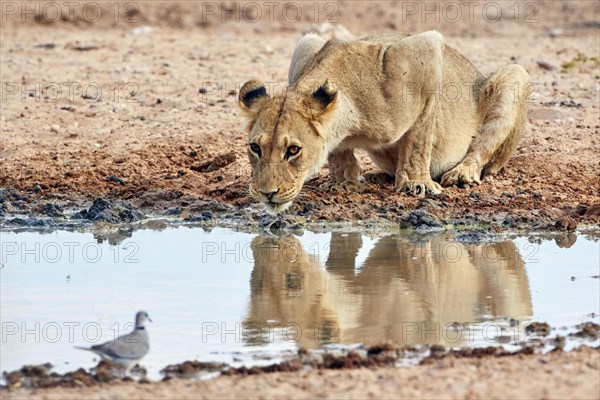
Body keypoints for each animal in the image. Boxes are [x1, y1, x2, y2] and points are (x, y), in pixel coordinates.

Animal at [239, 31, 528, 212]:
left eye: (293, 150)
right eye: (255, 148)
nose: (266, 193)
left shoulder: (425, 51)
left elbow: (418, 140)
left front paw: (416, 184)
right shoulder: (305, 46)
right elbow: (337, 150)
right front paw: (343, 181)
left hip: (514, 75)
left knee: (484, 152)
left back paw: (462, 173)